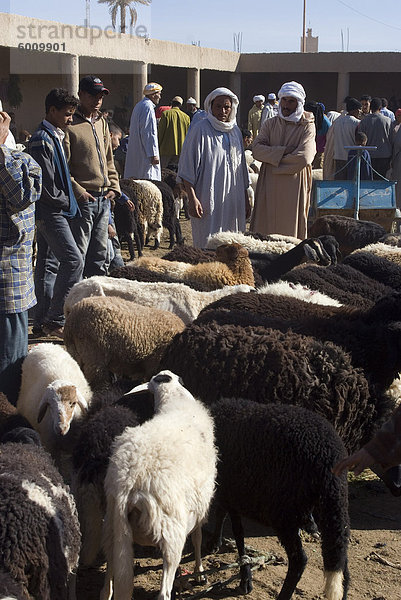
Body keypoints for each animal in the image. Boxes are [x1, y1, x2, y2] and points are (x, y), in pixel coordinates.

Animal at [100, 370, 217, 600]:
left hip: (112, 528)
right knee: (164, 592)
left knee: (108, 582)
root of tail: (127, 483)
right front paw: (200, 572)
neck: (176, 401)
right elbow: (198, 538)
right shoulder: (201, 504)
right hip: (172, 534)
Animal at [209, 398, 346, 600]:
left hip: (284, 512)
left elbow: (238, 532)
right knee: (340, 557)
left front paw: (245, 578)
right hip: (333, 507)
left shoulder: (232, 492)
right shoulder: (229, 491)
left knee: (299, 560)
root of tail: (328, 457)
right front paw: (215, 543)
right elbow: (222, 513)